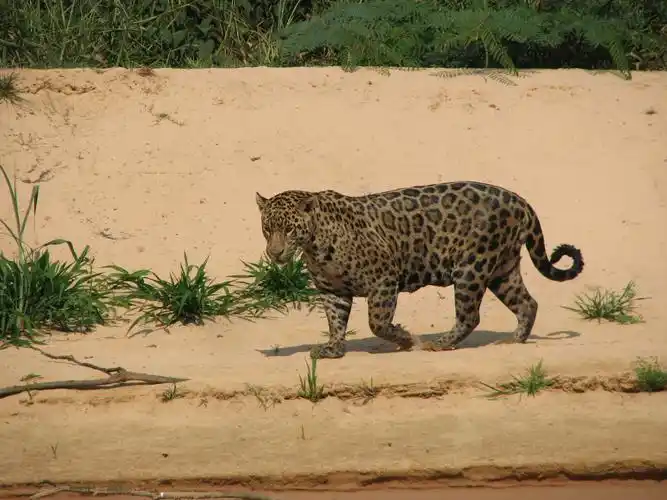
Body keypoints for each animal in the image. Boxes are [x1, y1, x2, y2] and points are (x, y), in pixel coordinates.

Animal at [254, 181, 584, 360]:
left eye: (289, 229)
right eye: (267, 229)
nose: (275, 252)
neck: (315, 244)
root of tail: (521, 202)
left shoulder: (384, 279)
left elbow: (377, 322)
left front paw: (406, 340)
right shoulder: (332, 291)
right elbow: (336, 322)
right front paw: (333, 349)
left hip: (471, 268)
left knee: (471, 316)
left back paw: (438, 344)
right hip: (502, 270)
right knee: (528, 303)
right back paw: (513, 340)